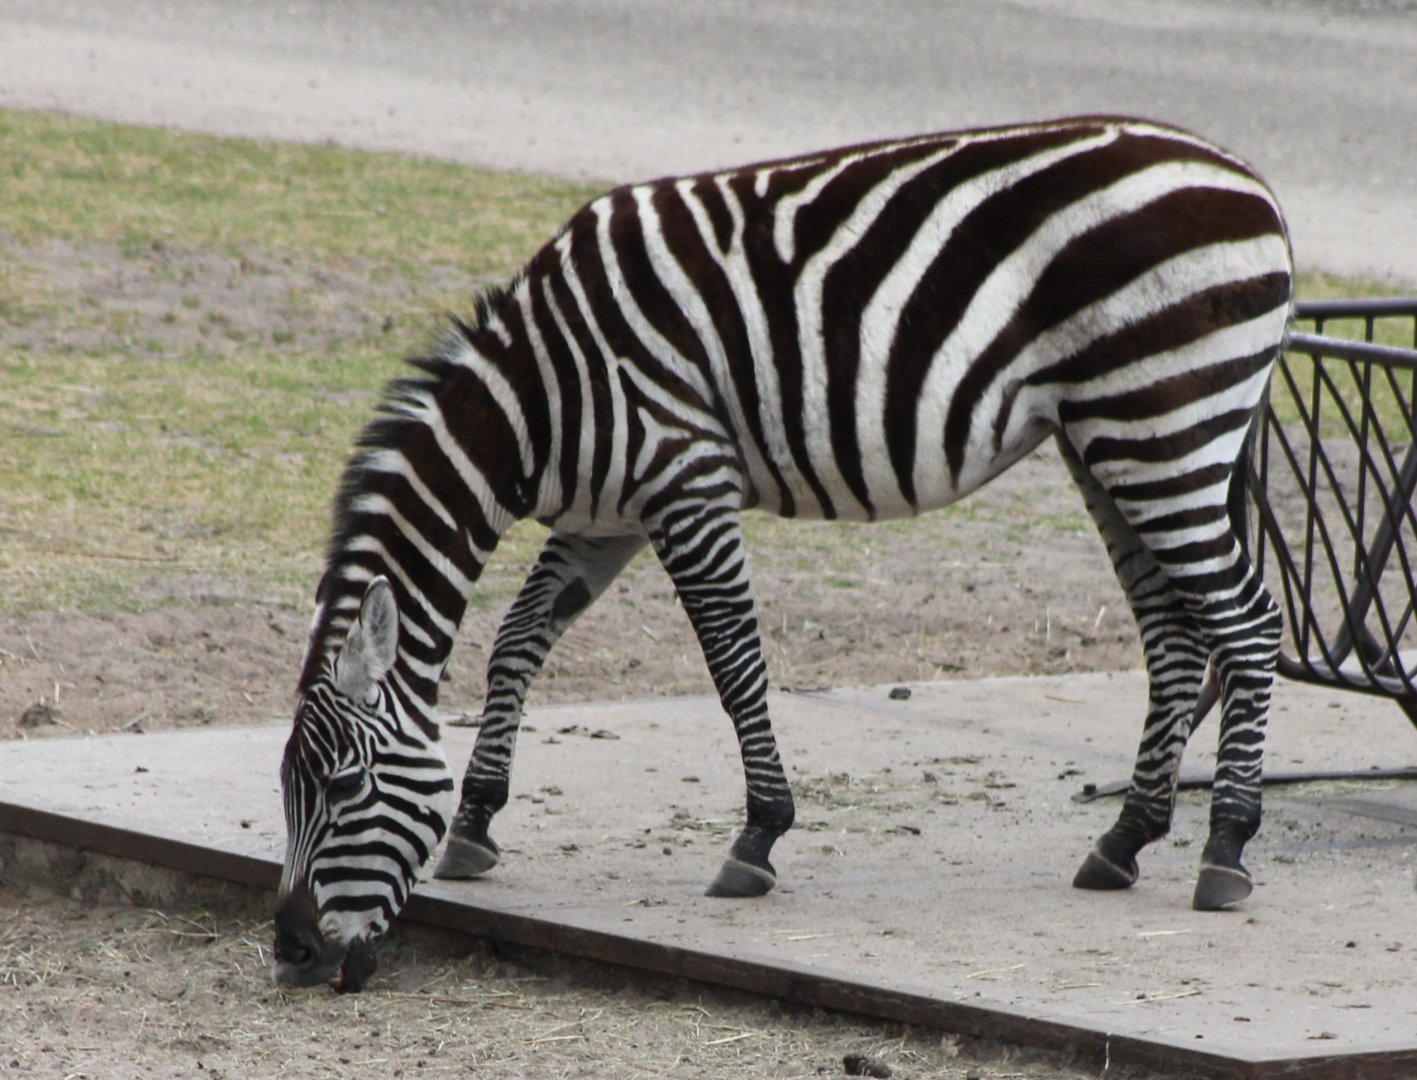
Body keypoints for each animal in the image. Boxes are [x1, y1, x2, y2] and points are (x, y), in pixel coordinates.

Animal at [273, 116, 1292, 993]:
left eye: (345, 784)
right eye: (286, 788)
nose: (289, 952)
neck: (539, 401)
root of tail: (1246, 177)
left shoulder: (684, 480)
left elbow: (733, 663)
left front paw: (757, 838)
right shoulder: (608, 517)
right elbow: (518, 640)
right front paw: (477, 820)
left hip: (1159, 421)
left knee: (1249, 620)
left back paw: (1225, 848)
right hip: (1106, 439)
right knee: (1173, 630)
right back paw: (1124, 838)